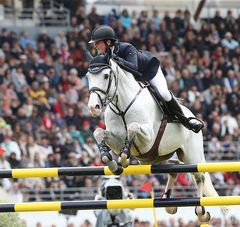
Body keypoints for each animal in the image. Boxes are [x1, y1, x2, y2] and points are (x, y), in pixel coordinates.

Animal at [86, 53, 227, 222]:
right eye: (88, 76)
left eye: (106, 75)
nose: (93, 107)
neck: (122, 107)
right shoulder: (117, 140)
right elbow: (98, 133)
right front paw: (111, 162)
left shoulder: (147, 139)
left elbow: (133, 127)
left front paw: (124, 158)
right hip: (154, 158)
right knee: (174, 167)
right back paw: (169, 204)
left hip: (191, 155)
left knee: (199, 176)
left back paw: (201, 212)